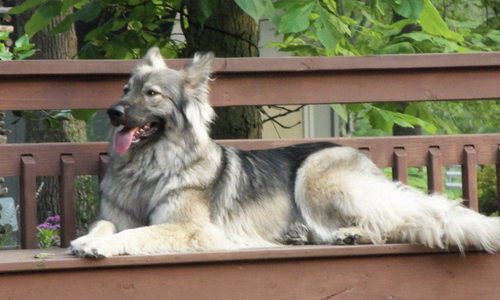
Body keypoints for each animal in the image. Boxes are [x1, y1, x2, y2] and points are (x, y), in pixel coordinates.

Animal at [69, 47, 500, 258]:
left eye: (151, 93)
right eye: (125, 89)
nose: (112, 112)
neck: (151, 164)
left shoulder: (189, 228)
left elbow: (139, 233)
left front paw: (98, 247)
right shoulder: (113, 215)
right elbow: (106, 226)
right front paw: (88, 239)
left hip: (317, 177)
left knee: (398, 221)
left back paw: (351, 234)